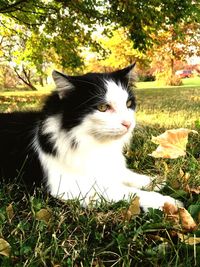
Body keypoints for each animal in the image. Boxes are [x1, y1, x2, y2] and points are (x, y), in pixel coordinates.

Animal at [0, 64, 183, 211]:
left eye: (129, 104)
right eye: (102, 107)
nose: (128, 123)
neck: (93, 142)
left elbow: (125, 174)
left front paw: (154, 181)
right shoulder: (70, 187)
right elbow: (127, 192)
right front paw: (167, 203)